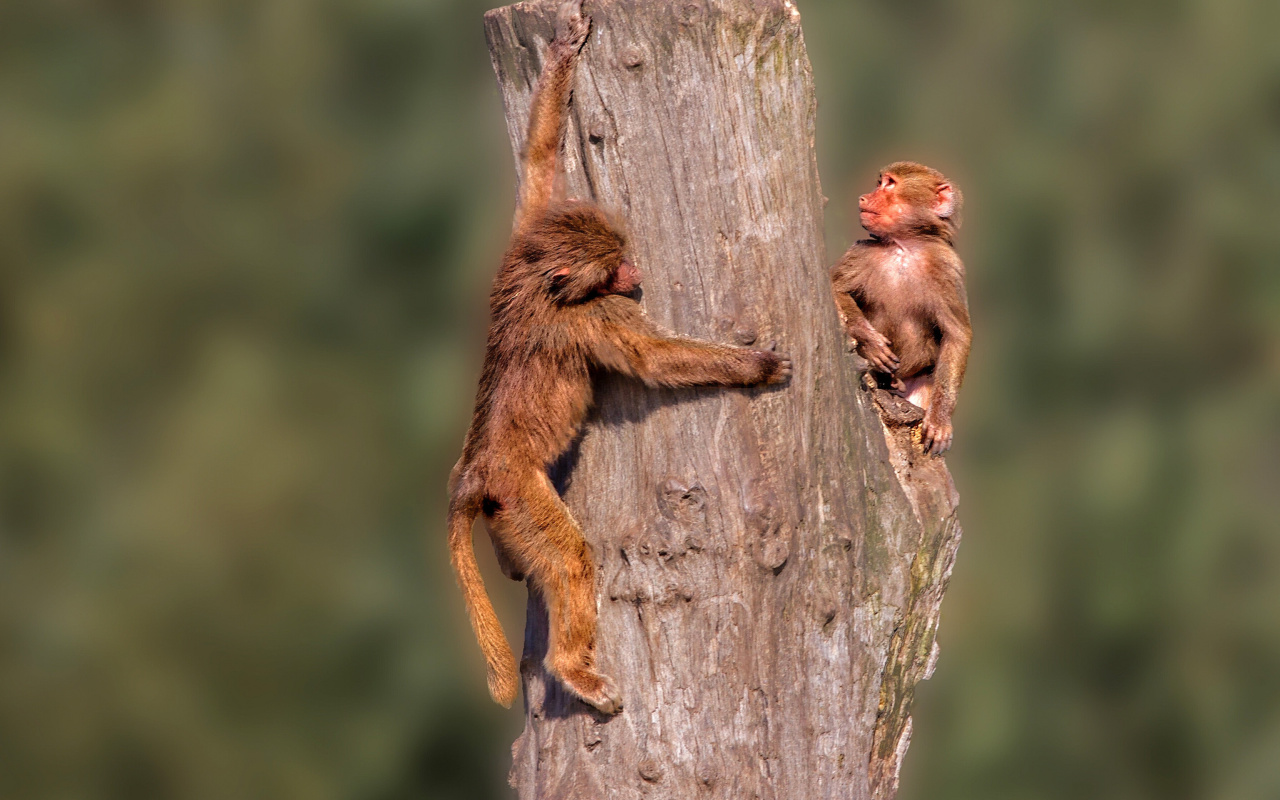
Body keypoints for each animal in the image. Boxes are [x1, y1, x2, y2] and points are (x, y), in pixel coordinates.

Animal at [829, 160, 967, 455]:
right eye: (880, 183)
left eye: (890, 184)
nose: (863, 197)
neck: (903, 246)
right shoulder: (861, 251)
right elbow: (835, 288)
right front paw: (870, 343)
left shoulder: (948, 266)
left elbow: (957, 335)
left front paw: (940, 421)